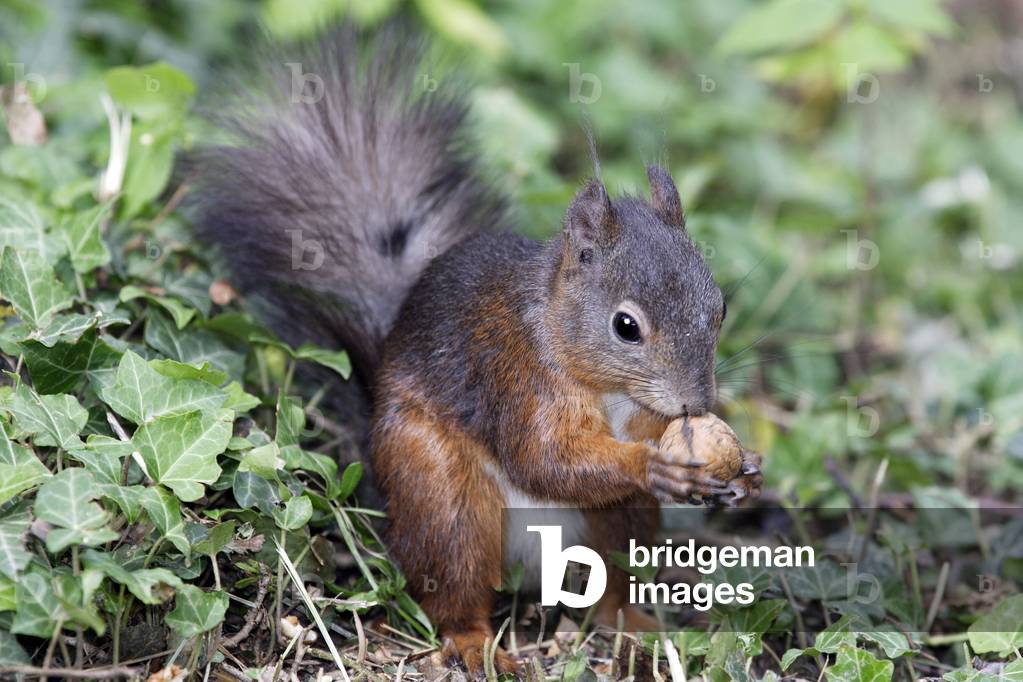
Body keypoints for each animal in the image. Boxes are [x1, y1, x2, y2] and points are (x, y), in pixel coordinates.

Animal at [194, 23, 763, 678]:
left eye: (720, 307)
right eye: (626, 326)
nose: (697, 403)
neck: (605, 386)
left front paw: (745, 471)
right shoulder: (515, 377)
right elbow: (544, 458)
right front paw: (653, 465)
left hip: (620, 522)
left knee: (611, 587)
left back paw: (634, 625)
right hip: (442, 494)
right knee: (455, 588)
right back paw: (477, 646)